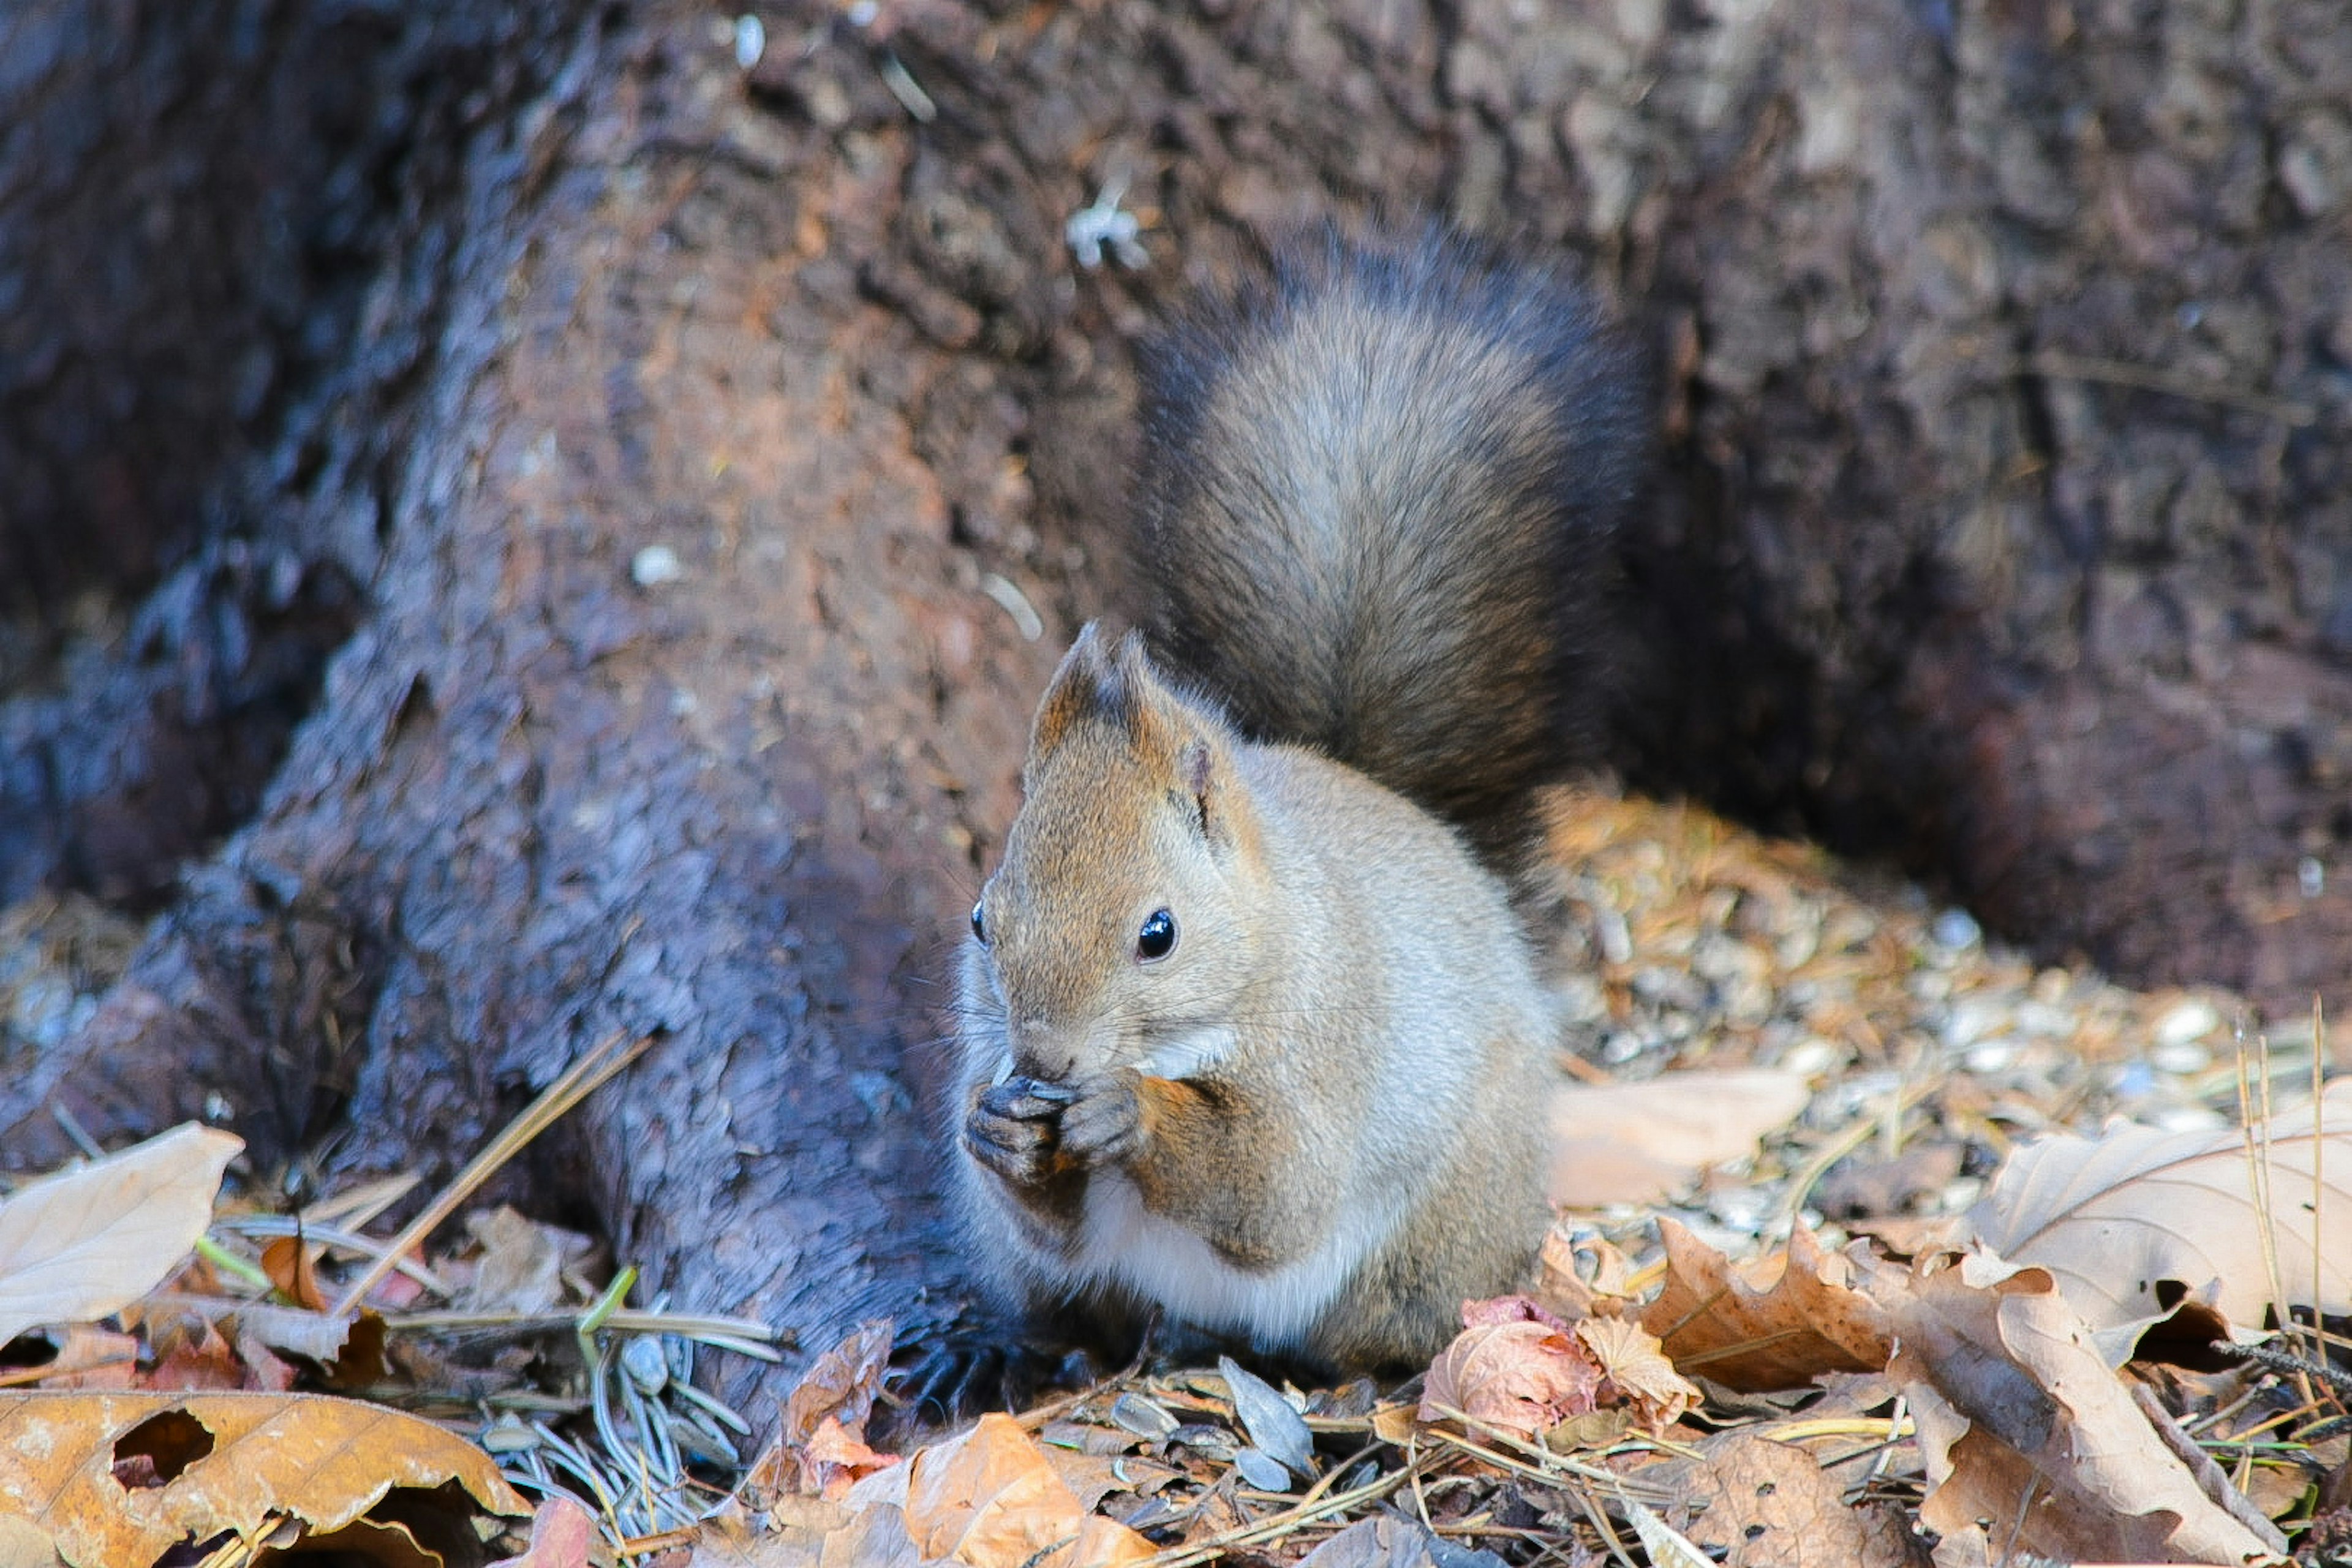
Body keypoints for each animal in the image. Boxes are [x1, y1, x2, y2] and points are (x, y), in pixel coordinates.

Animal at [945, 227, 1646, 1382]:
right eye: (980, 922)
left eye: (1159, 934)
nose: (1043, 1061)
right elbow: (1059, 1225)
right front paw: (999, 1130)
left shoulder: (1327, 1051)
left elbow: (1276, 1190)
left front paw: (1132, 1111)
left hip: (1429, 1239)